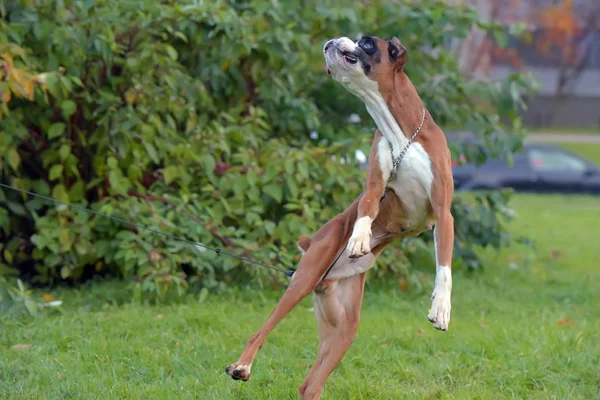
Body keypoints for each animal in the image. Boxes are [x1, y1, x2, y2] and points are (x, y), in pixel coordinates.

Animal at [225, 36, 454, 398]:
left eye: (366, 42)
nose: (332, 41)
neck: (401, 133)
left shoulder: (443, 214)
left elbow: (443, 268)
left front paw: (440, 308)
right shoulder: (374, 188)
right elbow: (365, 210)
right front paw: (359, 238)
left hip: (344, 330)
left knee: (310, 385)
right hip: (303, 282)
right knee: (261, 333)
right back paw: (242, 366)